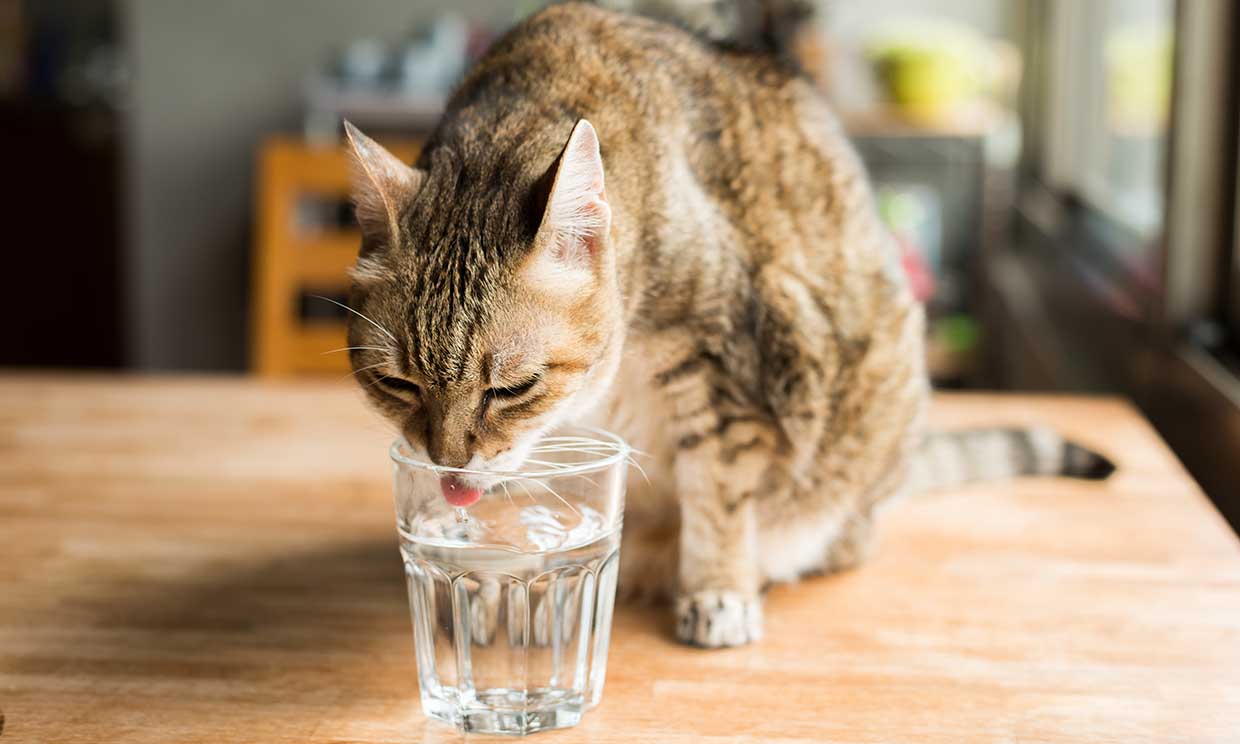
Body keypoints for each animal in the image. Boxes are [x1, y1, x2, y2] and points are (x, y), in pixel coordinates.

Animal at [342, 1, 1116, 644]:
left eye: (513, 388)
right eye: (398, 385)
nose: (447, 467)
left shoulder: (723, 364)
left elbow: (717, 490)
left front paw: (717, 589)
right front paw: (479, 558)